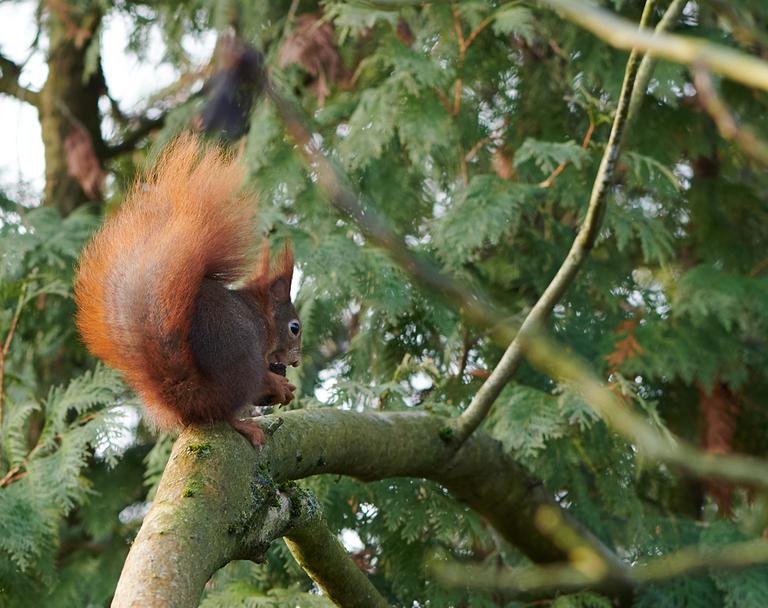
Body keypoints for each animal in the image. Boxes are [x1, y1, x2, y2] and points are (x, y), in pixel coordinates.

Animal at [74, 135, 301, 446]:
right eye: (295, 328)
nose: (297, 361)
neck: (259, 313)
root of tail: (192, 394)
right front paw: (280, 385)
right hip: (244, 363)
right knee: (228, 410)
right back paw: (245, 423)